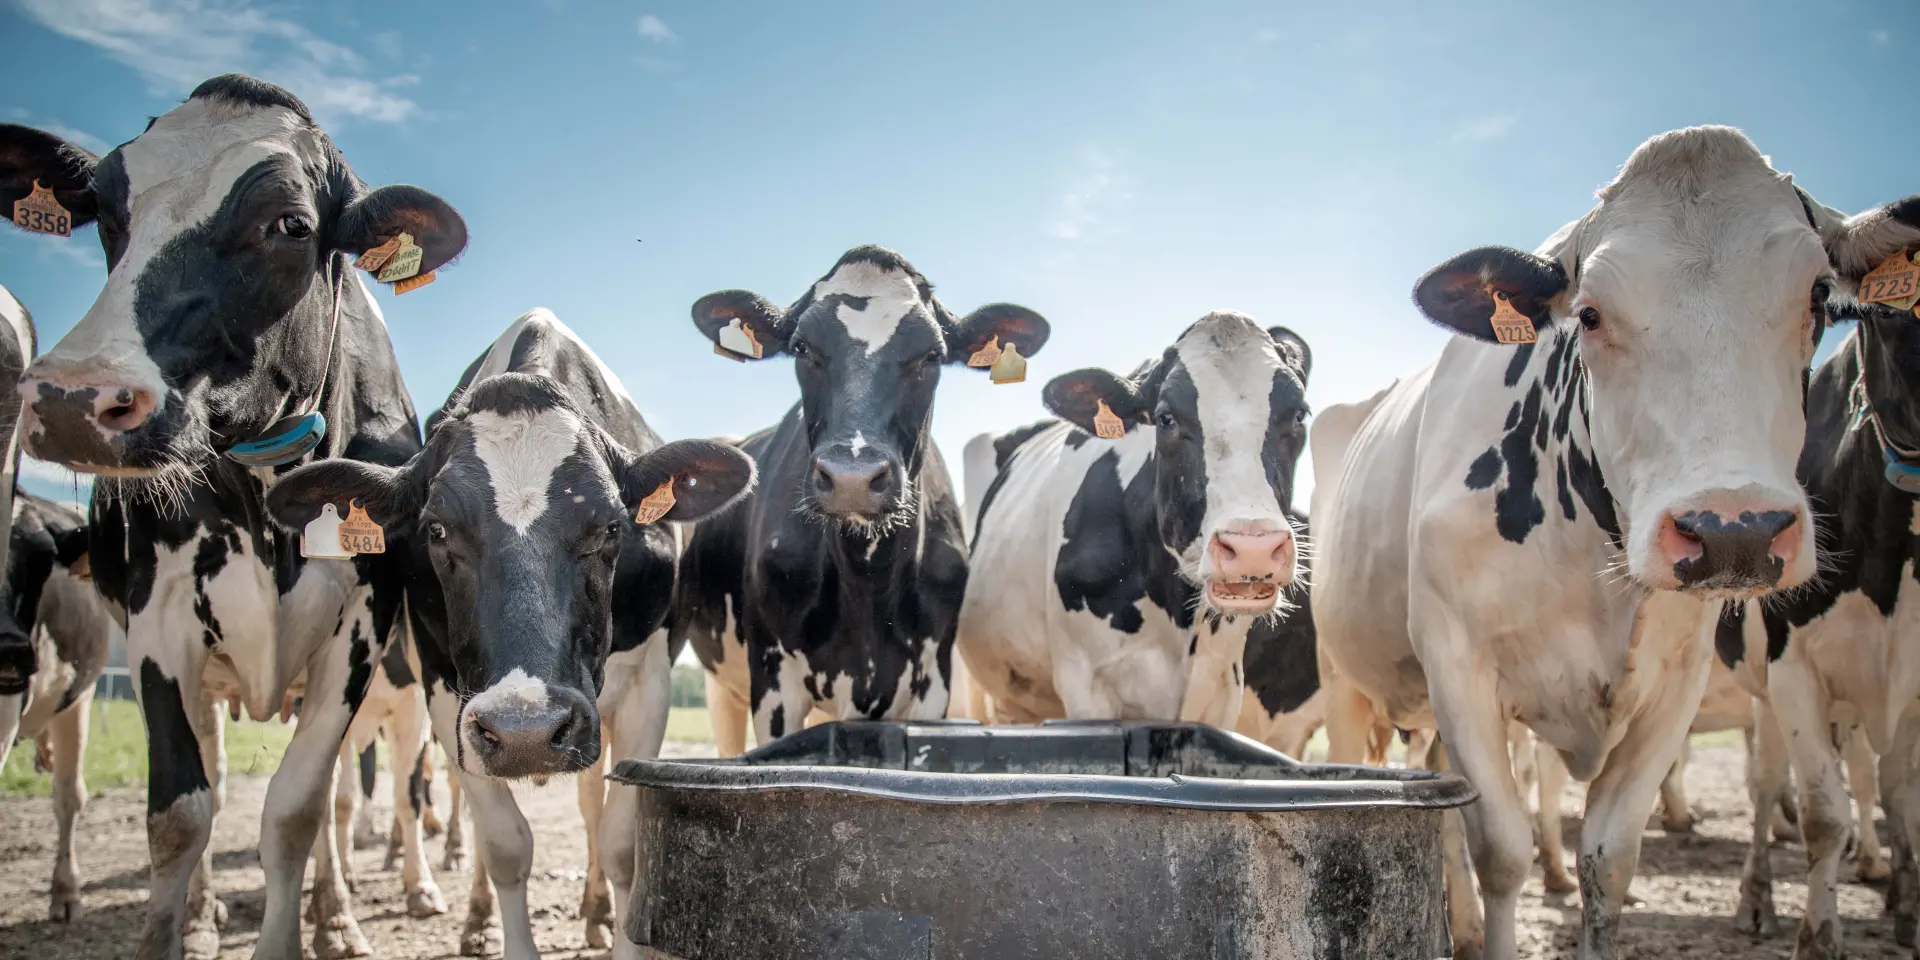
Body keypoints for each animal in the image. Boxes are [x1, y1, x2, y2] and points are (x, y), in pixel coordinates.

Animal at [267, 307, 756, 960]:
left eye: (611, 527)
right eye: (436, 529)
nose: (527, 731)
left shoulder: (651, 682)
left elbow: (623, 844)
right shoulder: (446, 689)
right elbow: (504, 844)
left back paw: (595, 913)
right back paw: (471, 918)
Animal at [674, 245, 1050, 748]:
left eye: (932, 355)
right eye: (802, 348)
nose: (851, 476)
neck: (868, 575)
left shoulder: (934, 684)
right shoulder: (773, 682)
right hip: (721, 685)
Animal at [1308, 126, 1898, 960]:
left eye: (1819, 296)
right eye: (1587, 314)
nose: (1735, 529)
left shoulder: (1676, 684)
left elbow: (1609, 858)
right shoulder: (1458, 663)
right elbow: (1502, 850)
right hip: (1344, 678)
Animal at [1714, 202, 1920, 956]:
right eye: (1901, 316)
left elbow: (1901, 796)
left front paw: (1906, 907)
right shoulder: (1793, 666)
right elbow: (1823, 813)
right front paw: (1818, 933)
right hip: (1767, 692)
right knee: (1768, 783)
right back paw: (1755, 901)